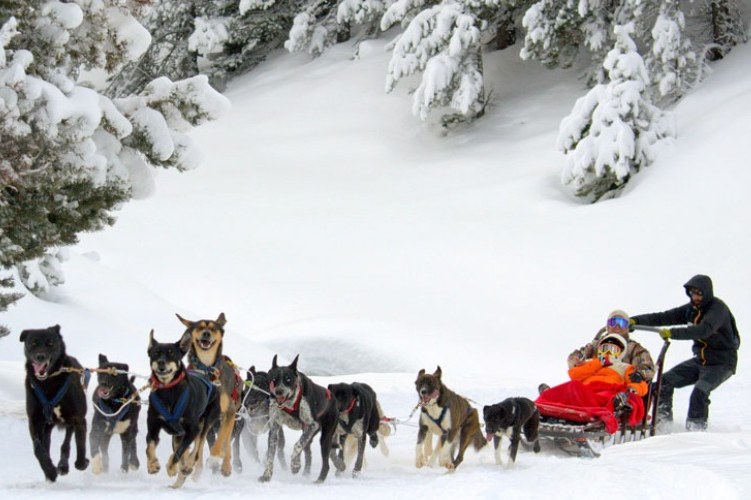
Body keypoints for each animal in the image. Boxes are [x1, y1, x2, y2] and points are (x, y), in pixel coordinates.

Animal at [19, 326, 89, 482]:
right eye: (33, 343)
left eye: (50, 343)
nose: (40, 356)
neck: (48, 383)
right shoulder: (34, 421)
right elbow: (38, 449)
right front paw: (49, 471)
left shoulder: (78, 418)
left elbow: (80, 445)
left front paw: (82, 463)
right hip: (47, 427)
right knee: (47, 445)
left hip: (69, 422)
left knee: (66, 443)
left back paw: (63, 465)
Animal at [145, 330, 219, 486]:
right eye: (156, 353)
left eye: (172, 353)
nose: (161, 362)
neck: (168, 389)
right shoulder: (153, 426)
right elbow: (149, 447)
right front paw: (152, 465)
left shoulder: (192, 429)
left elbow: (179, 453)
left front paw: (172, 467)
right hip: (178, 434)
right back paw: (178, 480)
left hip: (204, 424)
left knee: (196, 450)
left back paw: (187, 467)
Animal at [176, 312, 241, 476]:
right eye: (199, 327)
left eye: (213, 328)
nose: (206, 333)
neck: (206, 369)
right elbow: (198, 441)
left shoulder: (229, 410)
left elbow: (222, 439)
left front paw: (215, 457)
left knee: (226, 439)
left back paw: (225, 465)